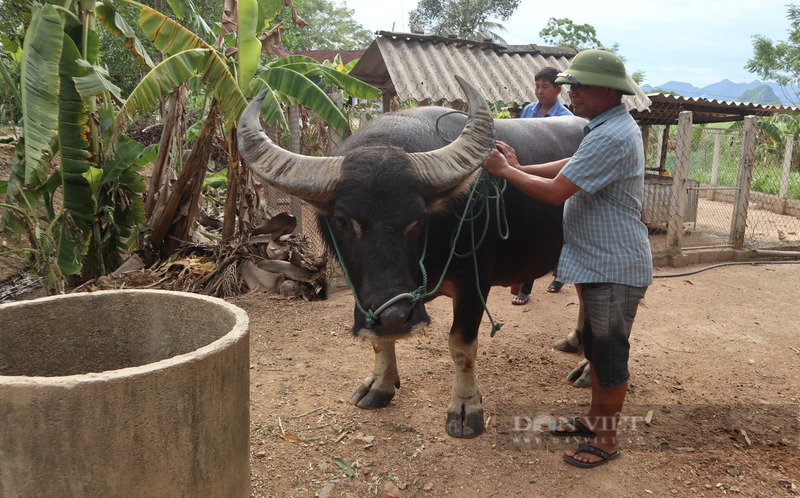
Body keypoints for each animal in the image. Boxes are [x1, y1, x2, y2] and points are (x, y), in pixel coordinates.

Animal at [241, 76, 584, 438]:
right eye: (343, 221)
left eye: (418, 219)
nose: (395, 315)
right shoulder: (363, 290)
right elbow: (380, 340)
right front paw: (380, 384)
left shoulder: (474, 283)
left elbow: (461, 346)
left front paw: (466, 407)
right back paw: (575, 342)